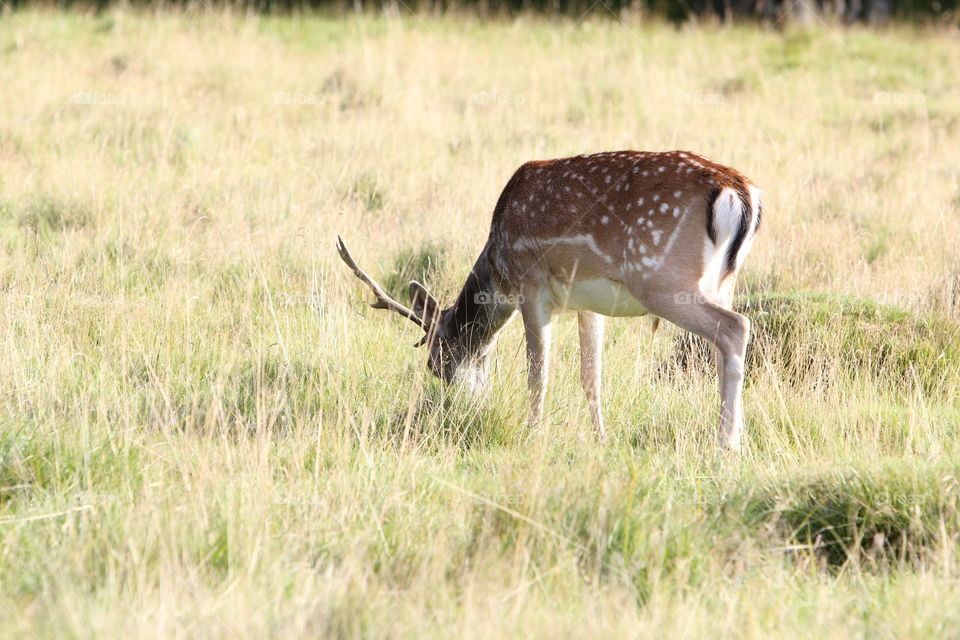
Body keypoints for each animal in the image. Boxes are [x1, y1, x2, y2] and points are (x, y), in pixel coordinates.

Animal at [337, 150, 762, 451]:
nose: (463, 406)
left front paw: (532, 433)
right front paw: (601, 440)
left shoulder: (532, 287)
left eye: (435, 364)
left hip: (661, 278)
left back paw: (727, 443)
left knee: (735, 326)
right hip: (722, 281)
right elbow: (592, 377)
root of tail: (740, 192)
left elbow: (538, 374)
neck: (499, 265)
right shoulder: (588, 304)